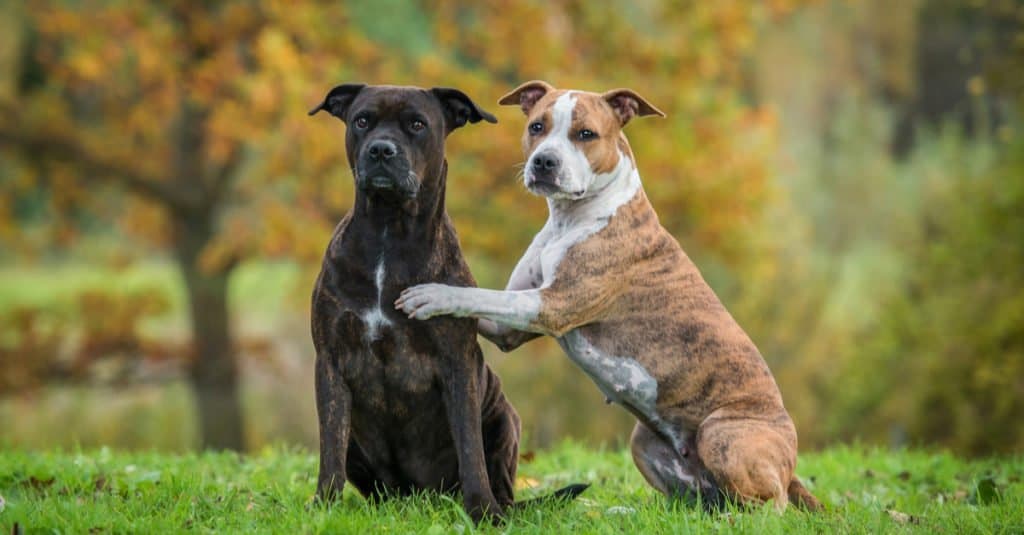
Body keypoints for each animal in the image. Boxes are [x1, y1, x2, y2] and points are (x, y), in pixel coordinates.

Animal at [307, 84, 585, 520]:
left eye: (417, 124)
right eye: (362, 120)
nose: (381, 149)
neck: (389, 232)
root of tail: (418, 496)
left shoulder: (456, 363)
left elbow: (469, 447)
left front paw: (482, 512)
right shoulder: (331, 361)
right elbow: (329, 447)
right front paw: (324, 507)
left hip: (503, 417)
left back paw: (498, 507)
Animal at [395, 80, 819, 510]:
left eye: (586, 134)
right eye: (536, 127)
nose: (544, 162)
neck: (571, 219)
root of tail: (790, 466)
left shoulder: (551, 305)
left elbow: (481, 295)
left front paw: (432, 294)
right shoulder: (508, 329)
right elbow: (485, 301)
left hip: (722, 436)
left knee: (769, 506)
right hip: (644, 443)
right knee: (698, 501)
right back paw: (618, 508)